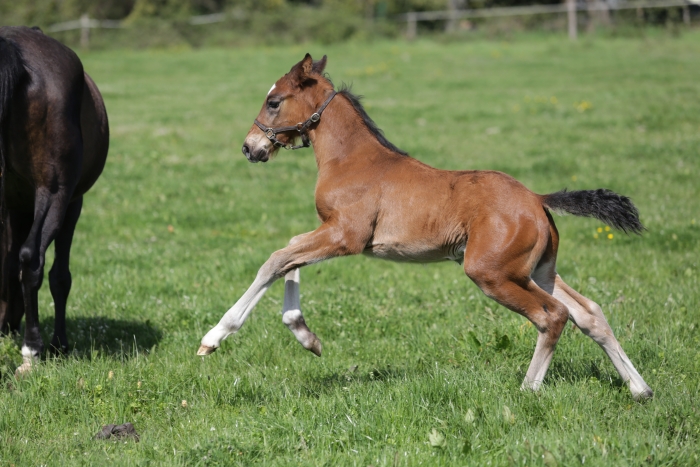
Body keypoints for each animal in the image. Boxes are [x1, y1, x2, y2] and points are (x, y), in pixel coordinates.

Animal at [0, 27, 108, 374]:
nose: (4, 327)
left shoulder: (15, 204)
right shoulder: (73, 203)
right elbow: (60, 276)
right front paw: (58, 344)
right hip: (56, 194)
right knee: (32, 258)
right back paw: (32, 350)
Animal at [200, 53, 652, 400]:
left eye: (274, 101)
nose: (250, 147)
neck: (351, 159)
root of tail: (538, 200)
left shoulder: (345, 236)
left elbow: (276, 259)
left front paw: (215, 336)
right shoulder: (331, 233)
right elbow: (290, 256)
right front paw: (306, 336)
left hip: (491, 273)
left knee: (553, 316)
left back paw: (528, 389)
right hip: (537, 271)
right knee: (588, 312)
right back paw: (640, 389)